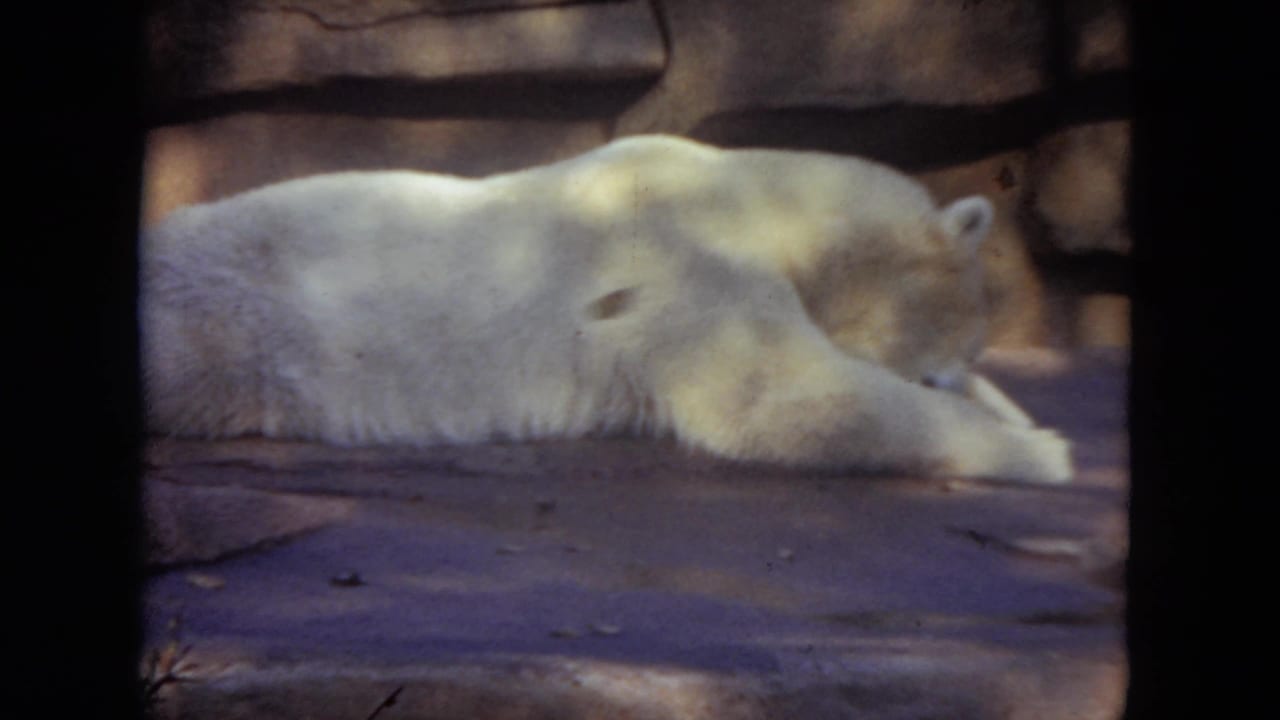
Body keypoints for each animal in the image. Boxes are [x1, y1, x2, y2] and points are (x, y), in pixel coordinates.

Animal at [141, 134, 1070, 483]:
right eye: (942, 362)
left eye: (969, 359)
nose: (952, 379)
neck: (748, 196)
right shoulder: (684, 268)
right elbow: (786, 402)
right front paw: (1045, 451)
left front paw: (1023, 415)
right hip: (216, 322)